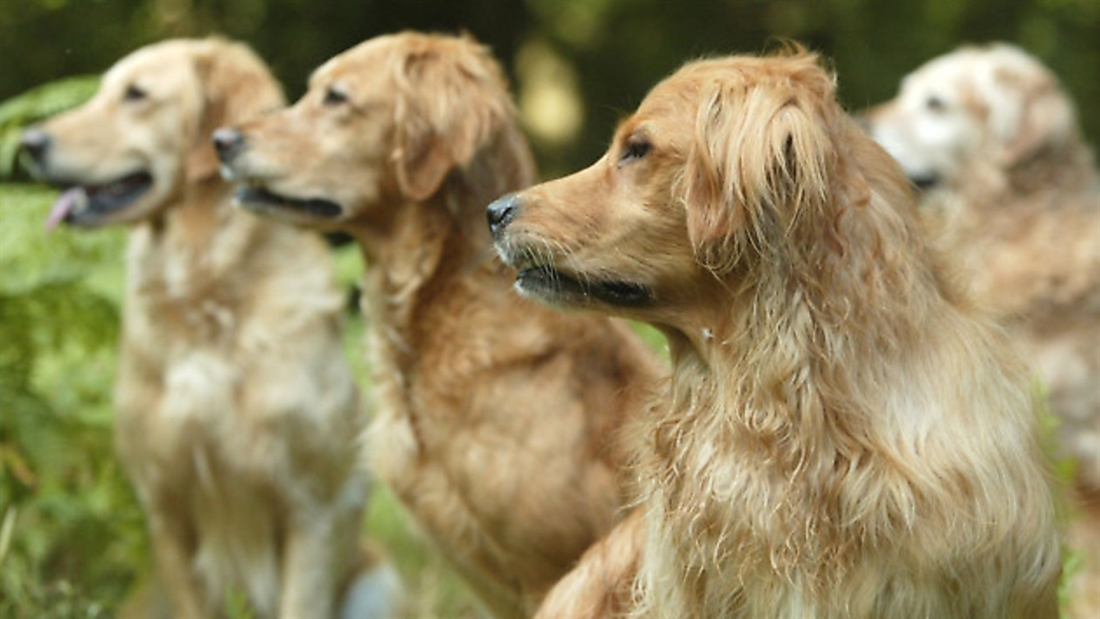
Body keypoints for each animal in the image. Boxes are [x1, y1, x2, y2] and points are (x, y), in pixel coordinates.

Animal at [21, 39, 398, 619]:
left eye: (136, 94)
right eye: (103, 90)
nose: (28, 143)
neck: (205, 293)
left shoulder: (314, 509)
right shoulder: (167, 510)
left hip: (378, 580)